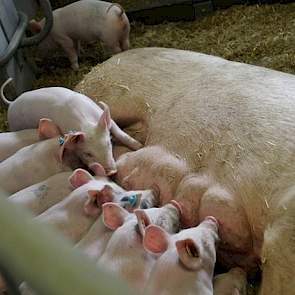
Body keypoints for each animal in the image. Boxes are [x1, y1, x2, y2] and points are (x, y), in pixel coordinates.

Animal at [1, 84, 142, 175]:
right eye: (87, 154)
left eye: (108, 144)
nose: (112, 171)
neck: (85, 123)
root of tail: (12, 103)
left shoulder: (107, 119)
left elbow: (121, 133)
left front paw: (139, 146)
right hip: (15, 125)